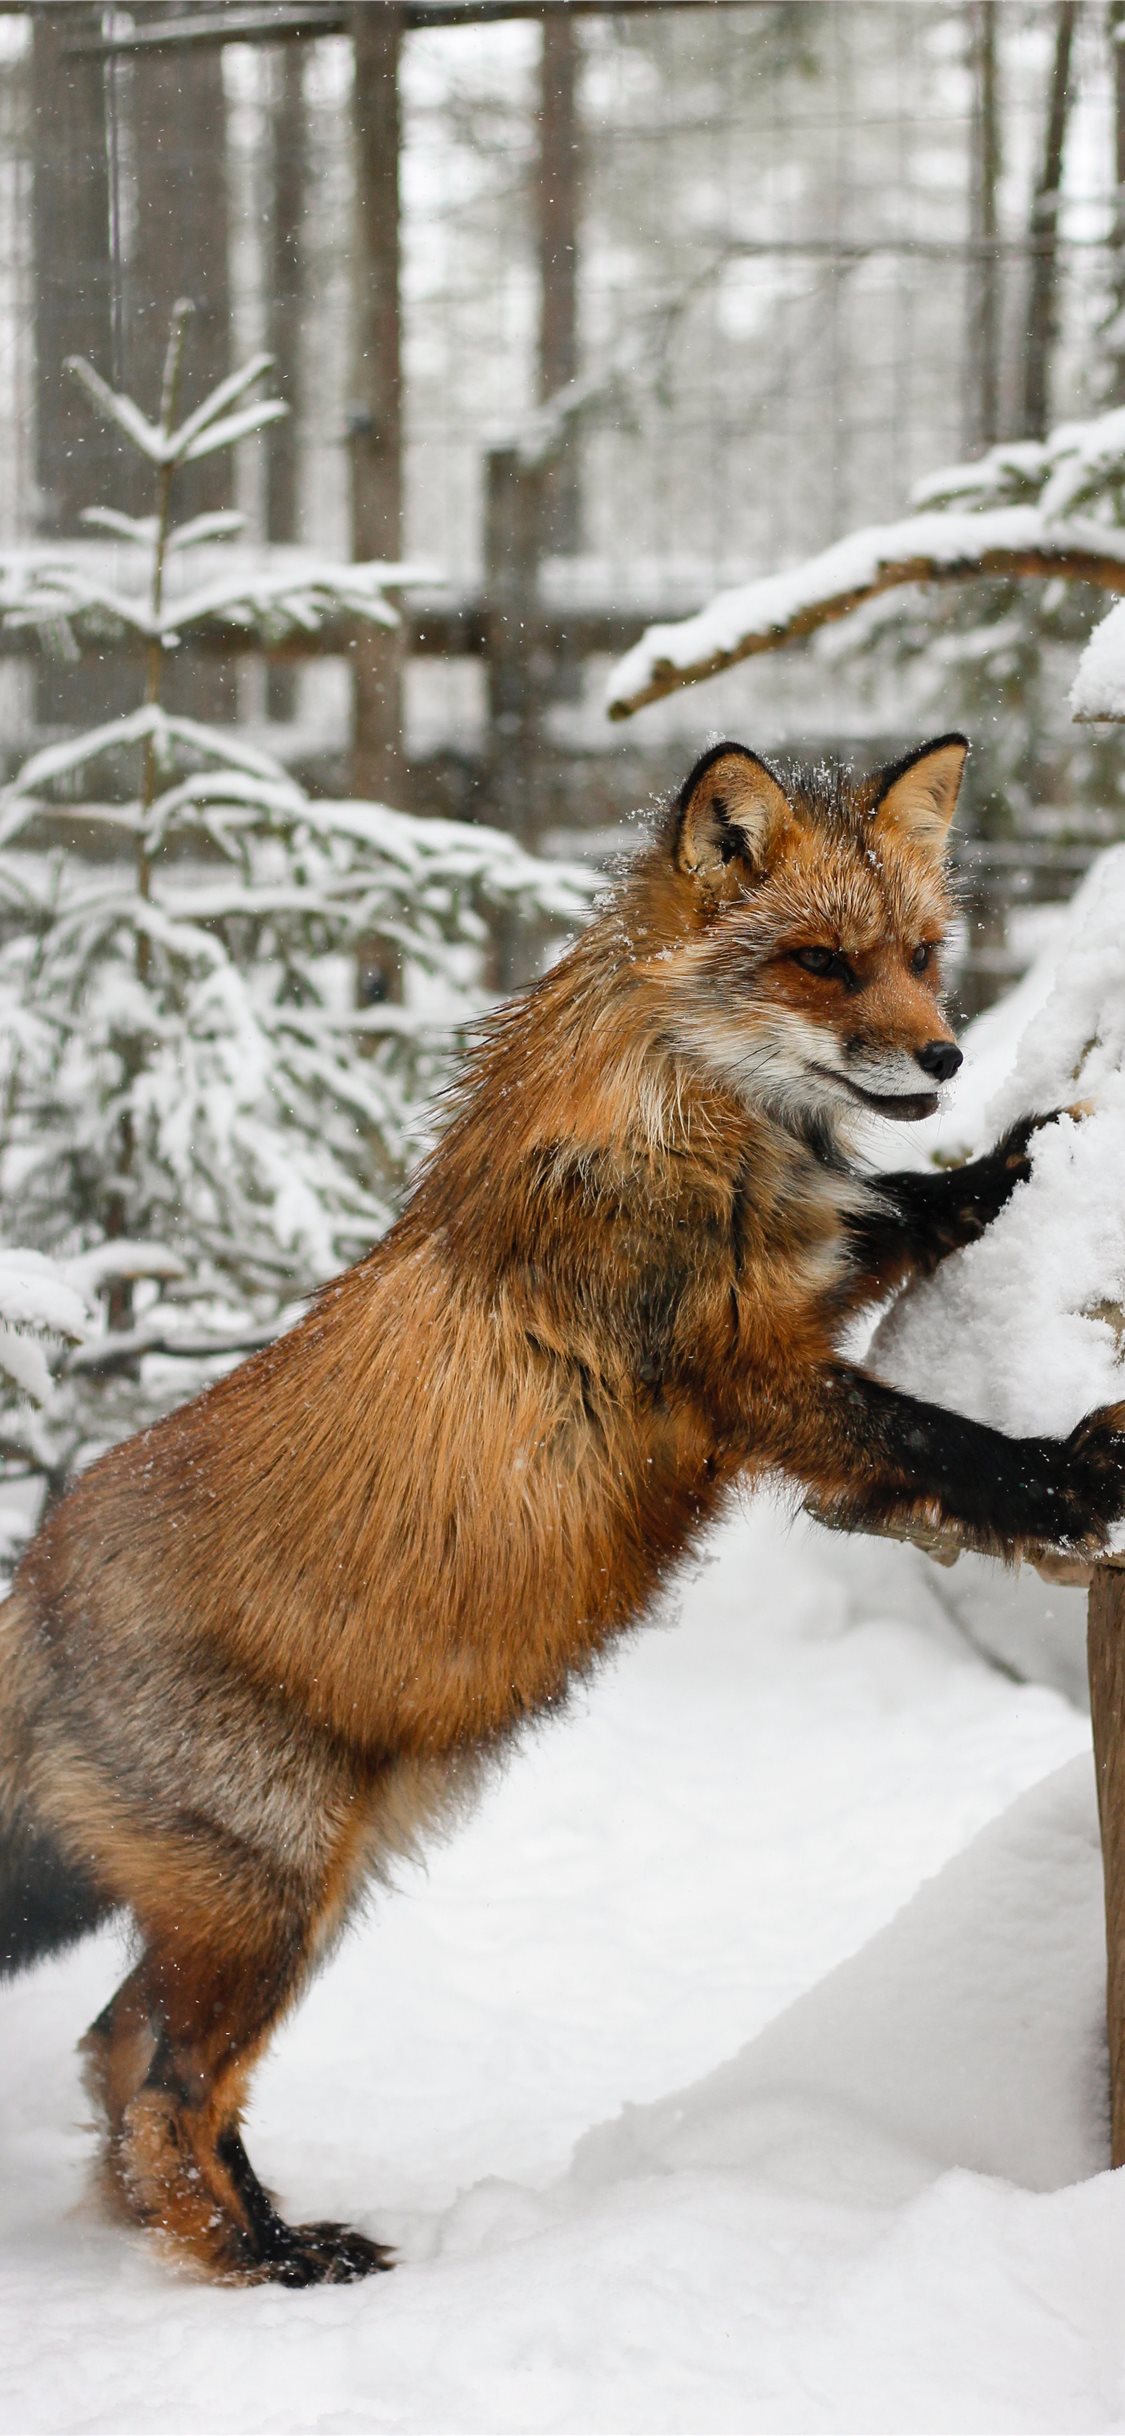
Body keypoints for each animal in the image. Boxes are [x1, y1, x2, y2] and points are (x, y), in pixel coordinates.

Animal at [2, 735, 1125, 2280]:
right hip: (275, 1903)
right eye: (821, 965)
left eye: (920, 957)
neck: (692, 1128)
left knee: (116, 2063)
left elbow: (912, 1203)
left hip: (301, 1893)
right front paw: (1075, 1476)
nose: (950, 1054)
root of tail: (30, 1584)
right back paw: (273, 2262)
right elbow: (943, 1443)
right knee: (165, 2097)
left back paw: (225, 2234)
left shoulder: (798, 1276)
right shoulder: (749, 1380)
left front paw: (1031, 1142)